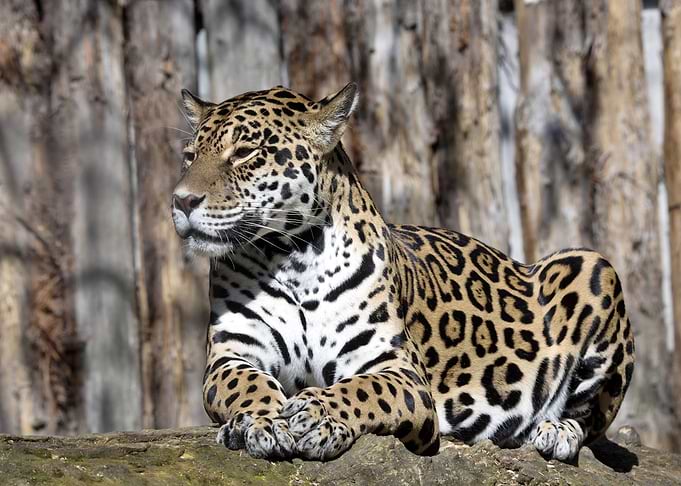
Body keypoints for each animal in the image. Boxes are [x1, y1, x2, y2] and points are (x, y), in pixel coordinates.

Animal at [171, 82, 635, 463]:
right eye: (189, 156)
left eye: (245, 153)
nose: (181, 200)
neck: (292, 259)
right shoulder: (231, 355)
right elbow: (247, 384)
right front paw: (263, 421)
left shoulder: (399, 372)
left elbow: (362, 389)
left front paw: (317, 414)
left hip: (593, 266)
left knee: (591, 423)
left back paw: (556, 430)